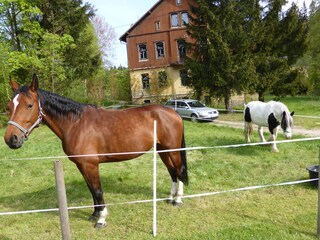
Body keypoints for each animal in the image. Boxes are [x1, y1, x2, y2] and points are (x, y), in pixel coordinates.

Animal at [3, 75, 188, 229]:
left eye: (29, 105)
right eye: (9, 106)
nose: (11, 139)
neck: (76, 124)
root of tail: (174, 112)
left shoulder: (90, 164)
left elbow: (98, 190)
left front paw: (101, 219)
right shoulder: (82, 165)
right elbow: (91, 189)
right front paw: (94, 214)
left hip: (173, 150)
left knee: (179, 171)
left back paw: (178, 200)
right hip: (163, 150)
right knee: (172, 172)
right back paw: (170, 198)